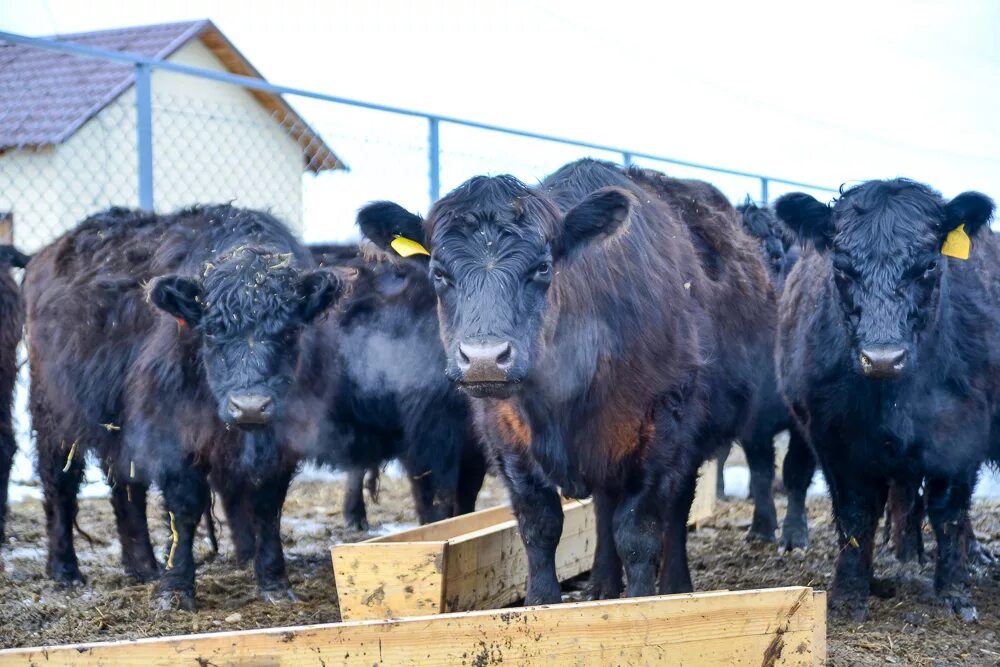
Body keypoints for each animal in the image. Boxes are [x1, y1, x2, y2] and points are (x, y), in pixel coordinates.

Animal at [26, 205, 344, 612]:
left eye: (289, 332)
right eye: (211, 332)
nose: (250, 407)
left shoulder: (284, 440)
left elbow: (267, 508)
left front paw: (274, 583)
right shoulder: (172, 433)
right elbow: (185, 508)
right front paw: (175, 589)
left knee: (126, 489)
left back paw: (142, 566)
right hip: (54, 415)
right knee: (60, 485)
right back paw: (65, 570)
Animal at [360, 159, 772, 604]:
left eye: (542, 267)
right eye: (439, 272)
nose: (485, 359)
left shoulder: (664, 424)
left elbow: (638, 532)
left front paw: (642, 602)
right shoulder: (505, 434)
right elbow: (540, 525)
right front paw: (541, 604)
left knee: (675, 508)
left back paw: (675, 585)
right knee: (605, 506)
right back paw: (602, 585)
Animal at [776, 180, 996, 624]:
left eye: (928, 266)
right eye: (842, 268)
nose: (882, 358)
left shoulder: (963, 435)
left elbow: (948, 511)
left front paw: (955, 591)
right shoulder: (835, 440)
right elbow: (856, 515)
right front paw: (848, 594)